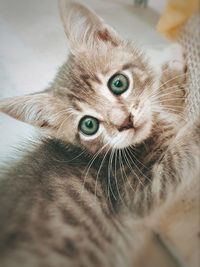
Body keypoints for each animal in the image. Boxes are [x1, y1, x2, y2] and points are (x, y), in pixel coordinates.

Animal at [0, 0, 199, 267]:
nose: (125, 122)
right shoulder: (140, 193)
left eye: (118, 83)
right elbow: (180, 155)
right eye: (89, 125)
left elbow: (166, 97)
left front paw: (172, 58)